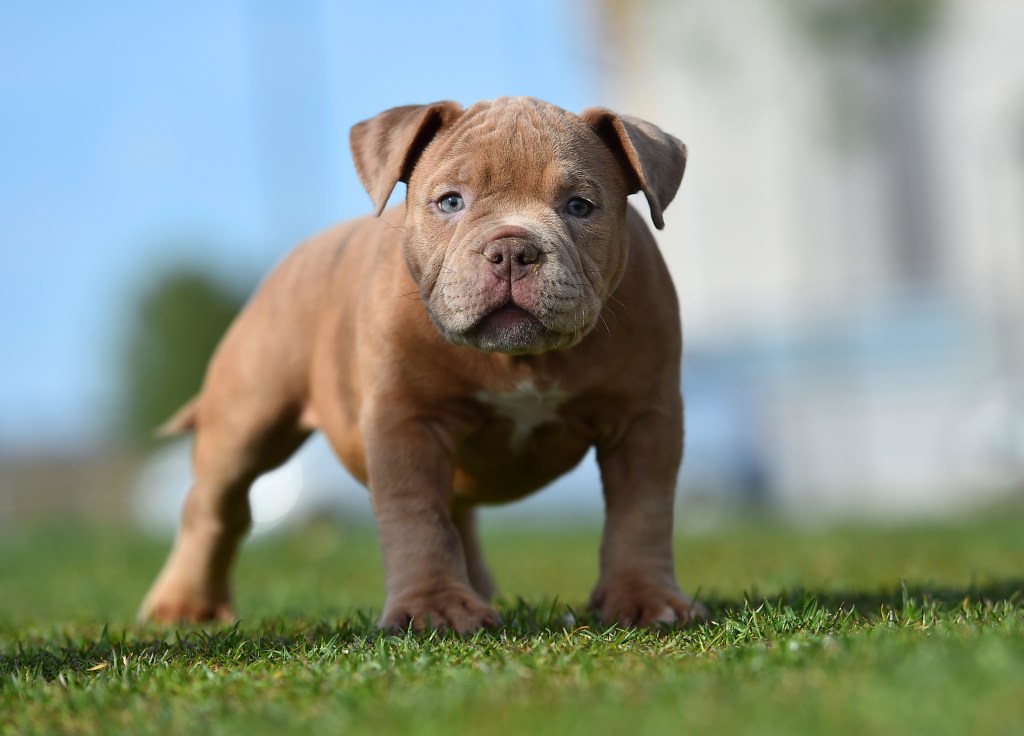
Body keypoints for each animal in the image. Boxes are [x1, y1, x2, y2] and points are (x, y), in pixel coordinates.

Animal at [138, 95, 704, 630]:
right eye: (450, 201)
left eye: (580, 206)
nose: (512, 250)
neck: (520, 362)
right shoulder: (407, 420)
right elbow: (419, 517)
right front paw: (434, 608)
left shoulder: (644, 420)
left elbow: (642, 513)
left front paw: (645, 598)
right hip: (246, 416)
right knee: (215, 505)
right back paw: (183, 604)